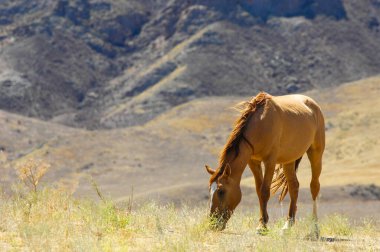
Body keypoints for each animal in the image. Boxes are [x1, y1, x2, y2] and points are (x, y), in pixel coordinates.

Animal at [206, 91, 326, 234]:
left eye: (221, 191)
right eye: (209, 190)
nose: (213, 224)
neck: (260, 123)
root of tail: (314, 105)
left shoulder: (270, 161)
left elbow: (264, 191)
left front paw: (262, 226)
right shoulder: (253, 161)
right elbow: (259, 191)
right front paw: (262, 222)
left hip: (316, 153)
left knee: (314, 187)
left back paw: (315, 228)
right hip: (289, 160)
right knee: (294, 187)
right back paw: (288, 225)